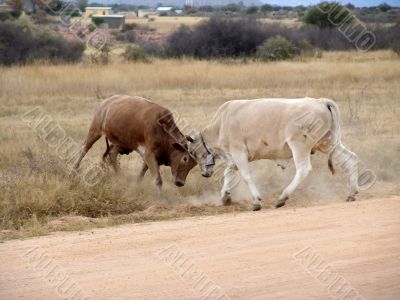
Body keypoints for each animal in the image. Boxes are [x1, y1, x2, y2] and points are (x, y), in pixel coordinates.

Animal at [189, 98, 360, 211]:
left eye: (191, 151)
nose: (204, 174)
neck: (221, 123)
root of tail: (321, 101)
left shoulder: (238, 152)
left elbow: (245, 176)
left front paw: (256, 202)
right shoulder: (234, 157)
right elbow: (228, 173)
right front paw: (225, 197)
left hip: (299, 145)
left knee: (303, 169)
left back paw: (282, 198)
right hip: (329, 144)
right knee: (351, 159)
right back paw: (352, 193)